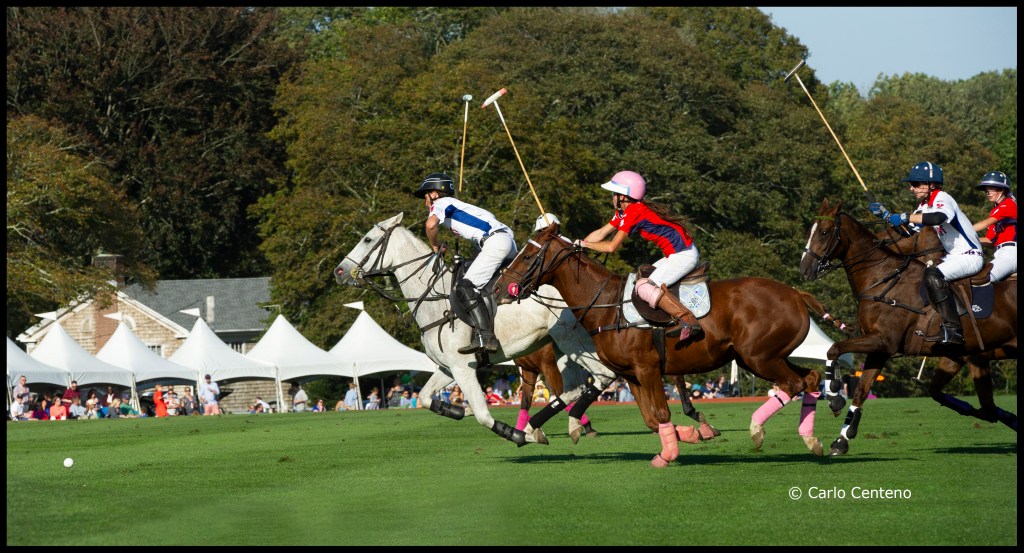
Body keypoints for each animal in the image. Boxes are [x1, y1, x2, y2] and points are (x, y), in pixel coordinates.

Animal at [334, 213, 621, 446]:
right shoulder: (448, 368)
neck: (434, 297)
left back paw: (542, 428)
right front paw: (459, 410)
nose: (339, 271)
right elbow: (426, 398)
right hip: (563, 349)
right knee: (574, 387)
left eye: (368, 239)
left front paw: (516, 434)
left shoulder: (463, 368)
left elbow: (483, 416)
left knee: (602, 376)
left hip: (574, 341)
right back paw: (562, 427)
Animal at [495, 223, 849, 466]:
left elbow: (662, 413)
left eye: (528, 255)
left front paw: (671, 452)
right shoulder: (631, 375)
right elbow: (652, 419)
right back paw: (812, 440)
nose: (499, 288)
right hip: (766, 356)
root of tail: (796, 294)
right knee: (809, 379)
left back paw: (758, 430)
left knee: (794, 383)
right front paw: (691, 435)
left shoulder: (648, 368)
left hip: (758, 357)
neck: (606, 304)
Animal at [799, 199, 1017, 455]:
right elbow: (861, 390)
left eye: (824, 232)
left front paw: (834, 397)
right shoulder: (880, 348)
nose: (804, 269)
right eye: (810, 230)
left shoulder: (884, 341)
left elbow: (833, 348)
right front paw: (841, 440)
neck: (882, 278)